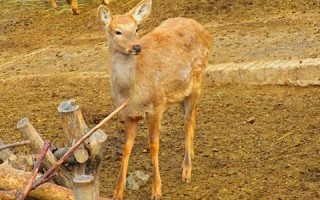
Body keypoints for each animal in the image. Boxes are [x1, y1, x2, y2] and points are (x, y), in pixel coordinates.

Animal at [97, 0, 212, 199]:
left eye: (136, 28)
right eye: (117, 31)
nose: (136, 47)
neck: (131, 93)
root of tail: (205, 31)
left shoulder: (157, 105)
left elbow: (154, 144)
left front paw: (157, 189)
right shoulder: (127, 114)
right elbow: (126, 147)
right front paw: (117, 191)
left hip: (197, 81)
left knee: (188, 122)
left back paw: (186, 170)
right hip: (182, 92)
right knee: (193, 116)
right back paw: (191, 155)